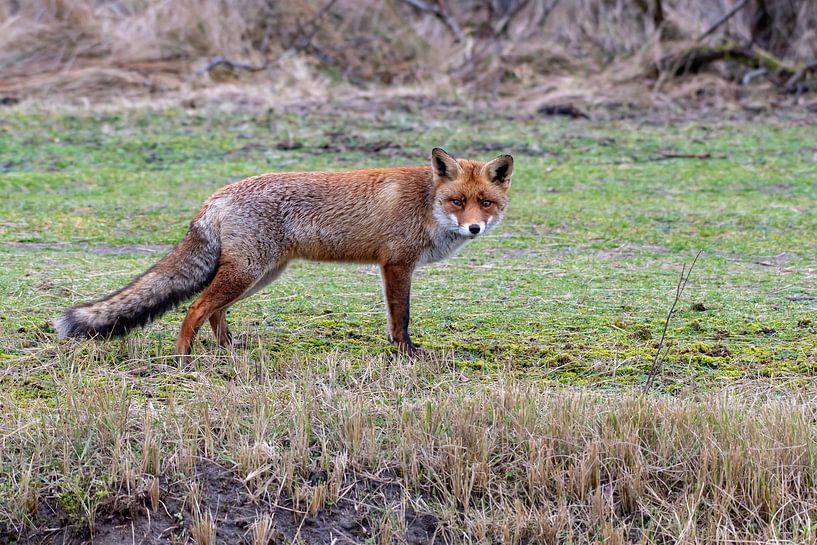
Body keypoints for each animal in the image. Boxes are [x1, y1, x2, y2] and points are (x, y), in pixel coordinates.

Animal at [54, 148, 513, 361]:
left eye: (485, 203)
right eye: (457, 201)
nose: (474, 228)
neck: (425, 202)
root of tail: (216, 196)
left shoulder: (394, 266)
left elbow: (395, 316)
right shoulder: (397, 264)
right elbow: (401, 316)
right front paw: (406, 353)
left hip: (260, 274)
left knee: (215, 311)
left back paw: (227, 349)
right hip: (248, 272)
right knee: (195, 308)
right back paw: (183, 357)